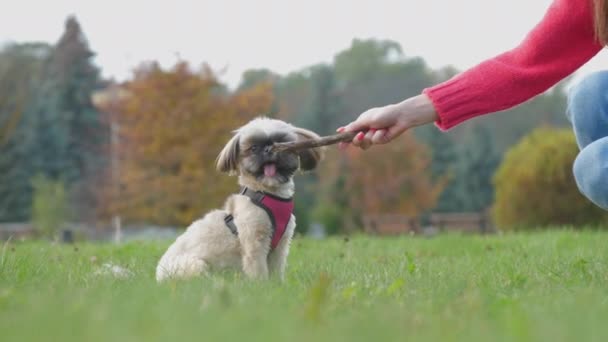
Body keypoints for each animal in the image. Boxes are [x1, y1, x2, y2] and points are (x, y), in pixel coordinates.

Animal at [156, 116, 324, 282]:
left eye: (280, 143)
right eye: (254, 148)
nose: (268, 149)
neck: (267, 193)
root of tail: (159, 273)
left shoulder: (280, 247)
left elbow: (276, 270)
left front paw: (277, 285)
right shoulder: (255, 243)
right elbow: (258, 270)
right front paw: (261, 286)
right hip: (197, 265)